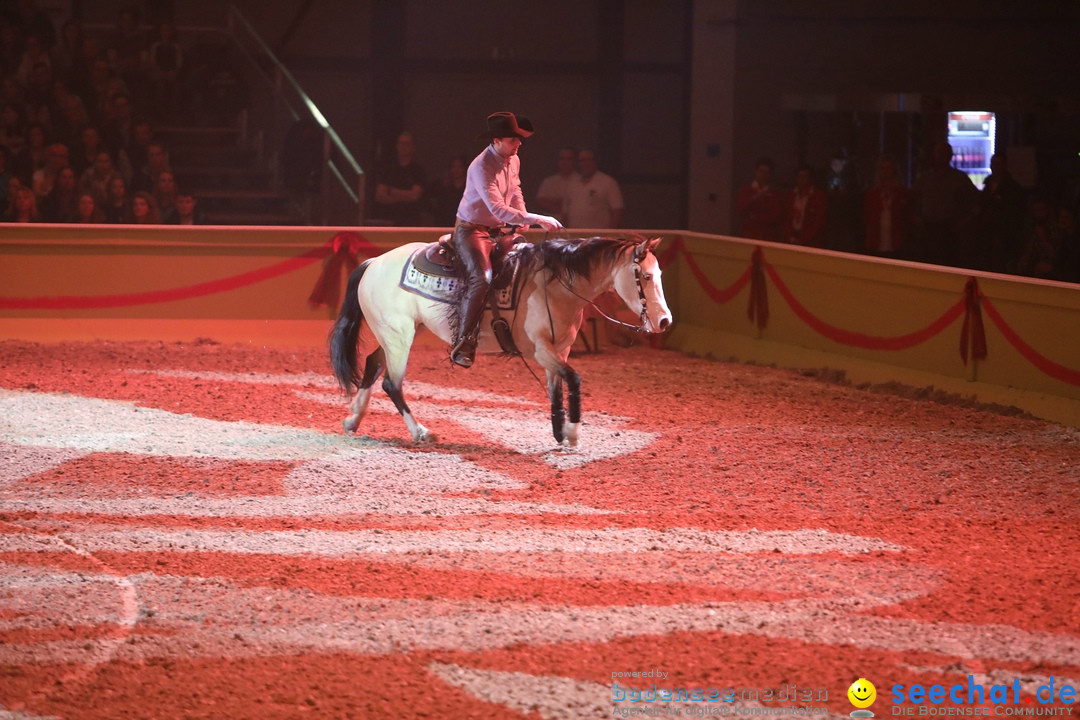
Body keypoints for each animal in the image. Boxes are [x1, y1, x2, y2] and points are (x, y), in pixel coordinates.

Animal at [324, 234, 669, 444]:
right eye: (645, 276)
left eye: (660, 274)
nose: (665, 321)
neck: (554, 284)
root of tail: (374, 263)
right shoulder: (541, 350)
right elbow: (573, 379)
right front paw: (571, 431)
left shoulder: (559, 350)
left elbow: (556, 387)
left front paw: (559, 430)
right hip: (399, 337)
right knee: (391, 383)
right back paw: (421, 431)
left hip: (398, 334)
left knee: (372, 364)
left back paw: (353, 419)